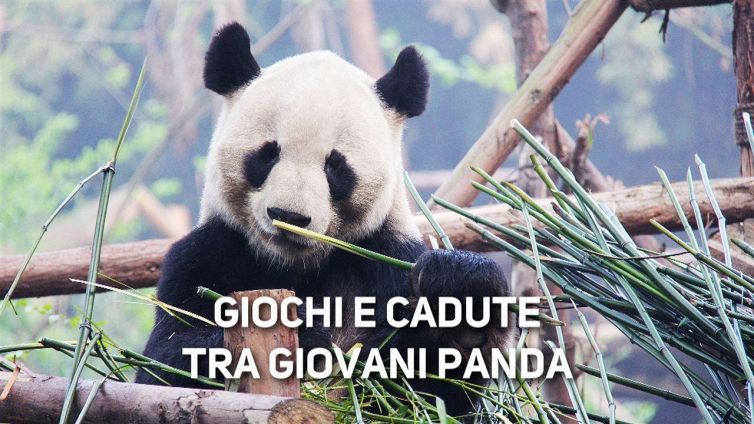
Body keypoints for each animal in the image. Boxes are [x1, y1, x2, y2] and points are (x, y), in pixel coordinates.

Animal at [136, 22, 512, 416]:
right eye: (267, 154)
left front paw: (462, 291)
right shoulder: (206, 253)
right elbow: (164, 363)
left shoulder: (385, 261)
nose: (288, 216)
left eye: (335, 166)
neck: (295, 266)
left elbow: (426, 396)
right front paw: (300, 328)